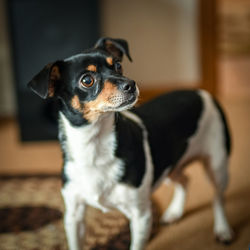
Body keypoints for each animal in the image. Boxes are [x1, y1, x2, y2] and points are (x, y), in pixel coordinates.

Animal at [28, 37, 233, 250]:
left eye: (118, 66)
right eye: (87, 80)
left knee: (218, 197)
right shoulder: (73, 216)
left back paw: (223, 229)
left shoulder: (141, 216)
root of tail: (201, 92)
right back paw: (175, 212)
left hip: (217, 165)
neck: (94, 146)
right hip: (170, 164)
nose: (131, 84)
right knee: (185, 180)